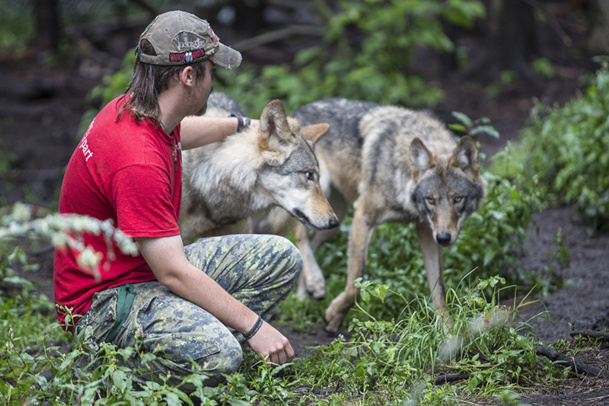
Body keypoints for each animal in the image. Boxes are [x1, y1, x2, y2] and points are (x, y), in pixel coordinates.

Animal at [255, 98, 484, 334]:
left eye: (458, 199)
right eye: (431, 199)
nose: (445, 238)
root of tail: (299, 114)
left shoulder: (427, 231)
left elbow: (439, 290)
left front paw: (448, 332)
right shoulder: (363, 217)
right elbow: (356, 283)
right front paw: (334, 316)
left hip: (333, 221)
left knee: (312, 242)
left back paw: (306, 295)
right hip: (318, 198)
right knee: (299, 235)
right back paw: (315, 283)